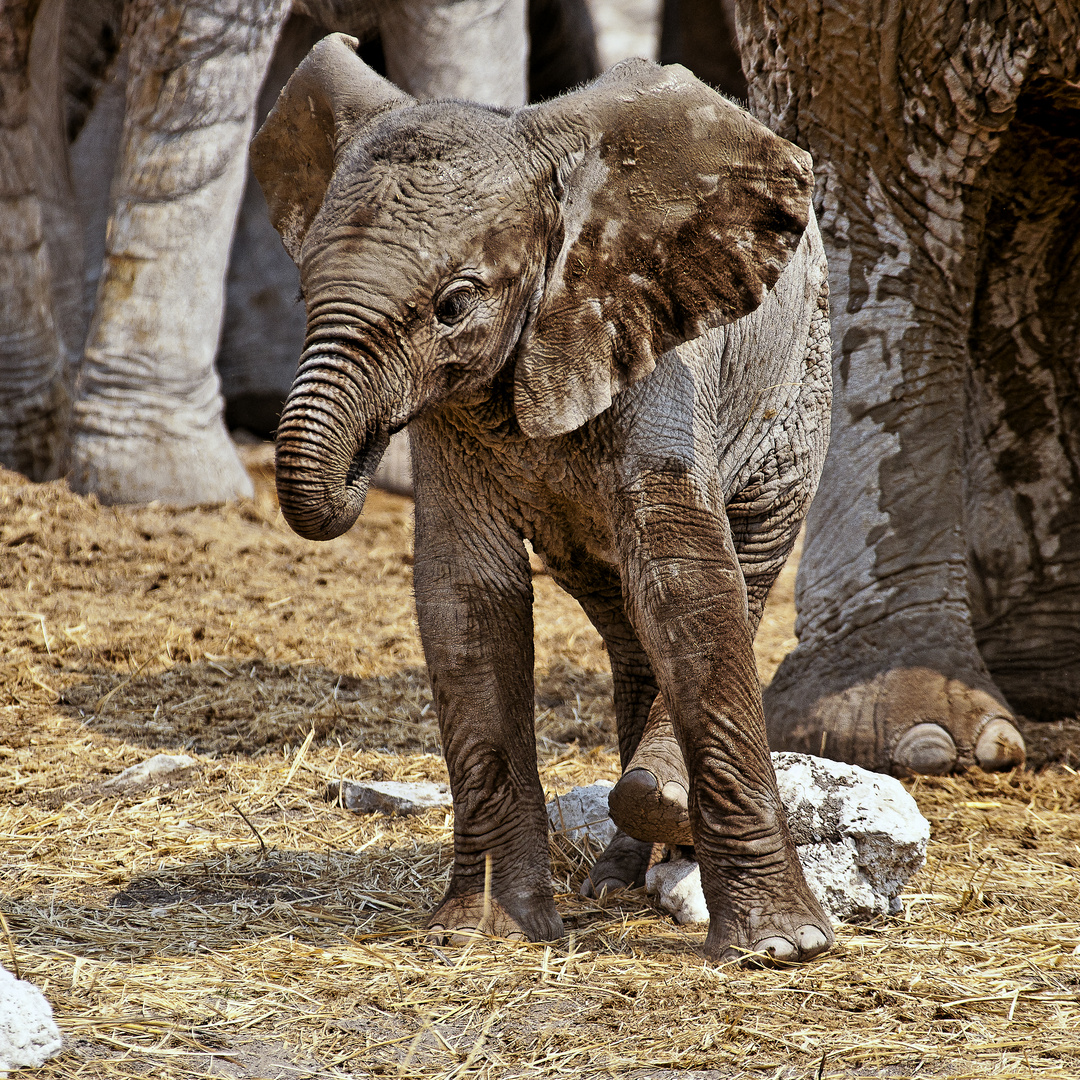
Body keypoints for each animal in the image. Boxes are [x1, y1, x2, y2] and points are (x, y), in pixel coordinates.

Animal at [252, 35, 833, 963]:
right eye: (305, 293)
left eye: (454, 305)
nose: (363, 459)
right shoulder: (452, 415)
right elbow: (467, 601)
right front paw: (485, 932)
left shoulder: (655, 340)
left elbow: (684, 582)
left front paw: (780, 950)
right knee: (627, 630)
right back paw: (621, 875)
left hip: (798, 388)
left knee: (736, 567)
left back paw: (660, 804)